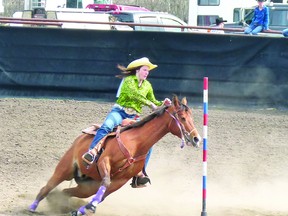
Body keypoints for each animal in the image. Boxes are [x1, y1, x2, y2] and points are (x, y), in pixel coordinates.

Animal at [28, 96, 200, 216]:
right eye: (183, 118)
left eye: (192, 117)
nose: (196, 139)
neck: (136, 143)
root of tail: (80, 138)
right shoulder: (104, 162)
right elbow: (105, 181)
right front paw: (89, 206)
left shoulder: (120, 181)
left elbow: (103, 195)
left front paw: (83, 209)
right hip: (65, 169)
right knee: (47, 187)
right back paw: (32, 207)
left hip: (87, 186)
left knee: (66, 192)